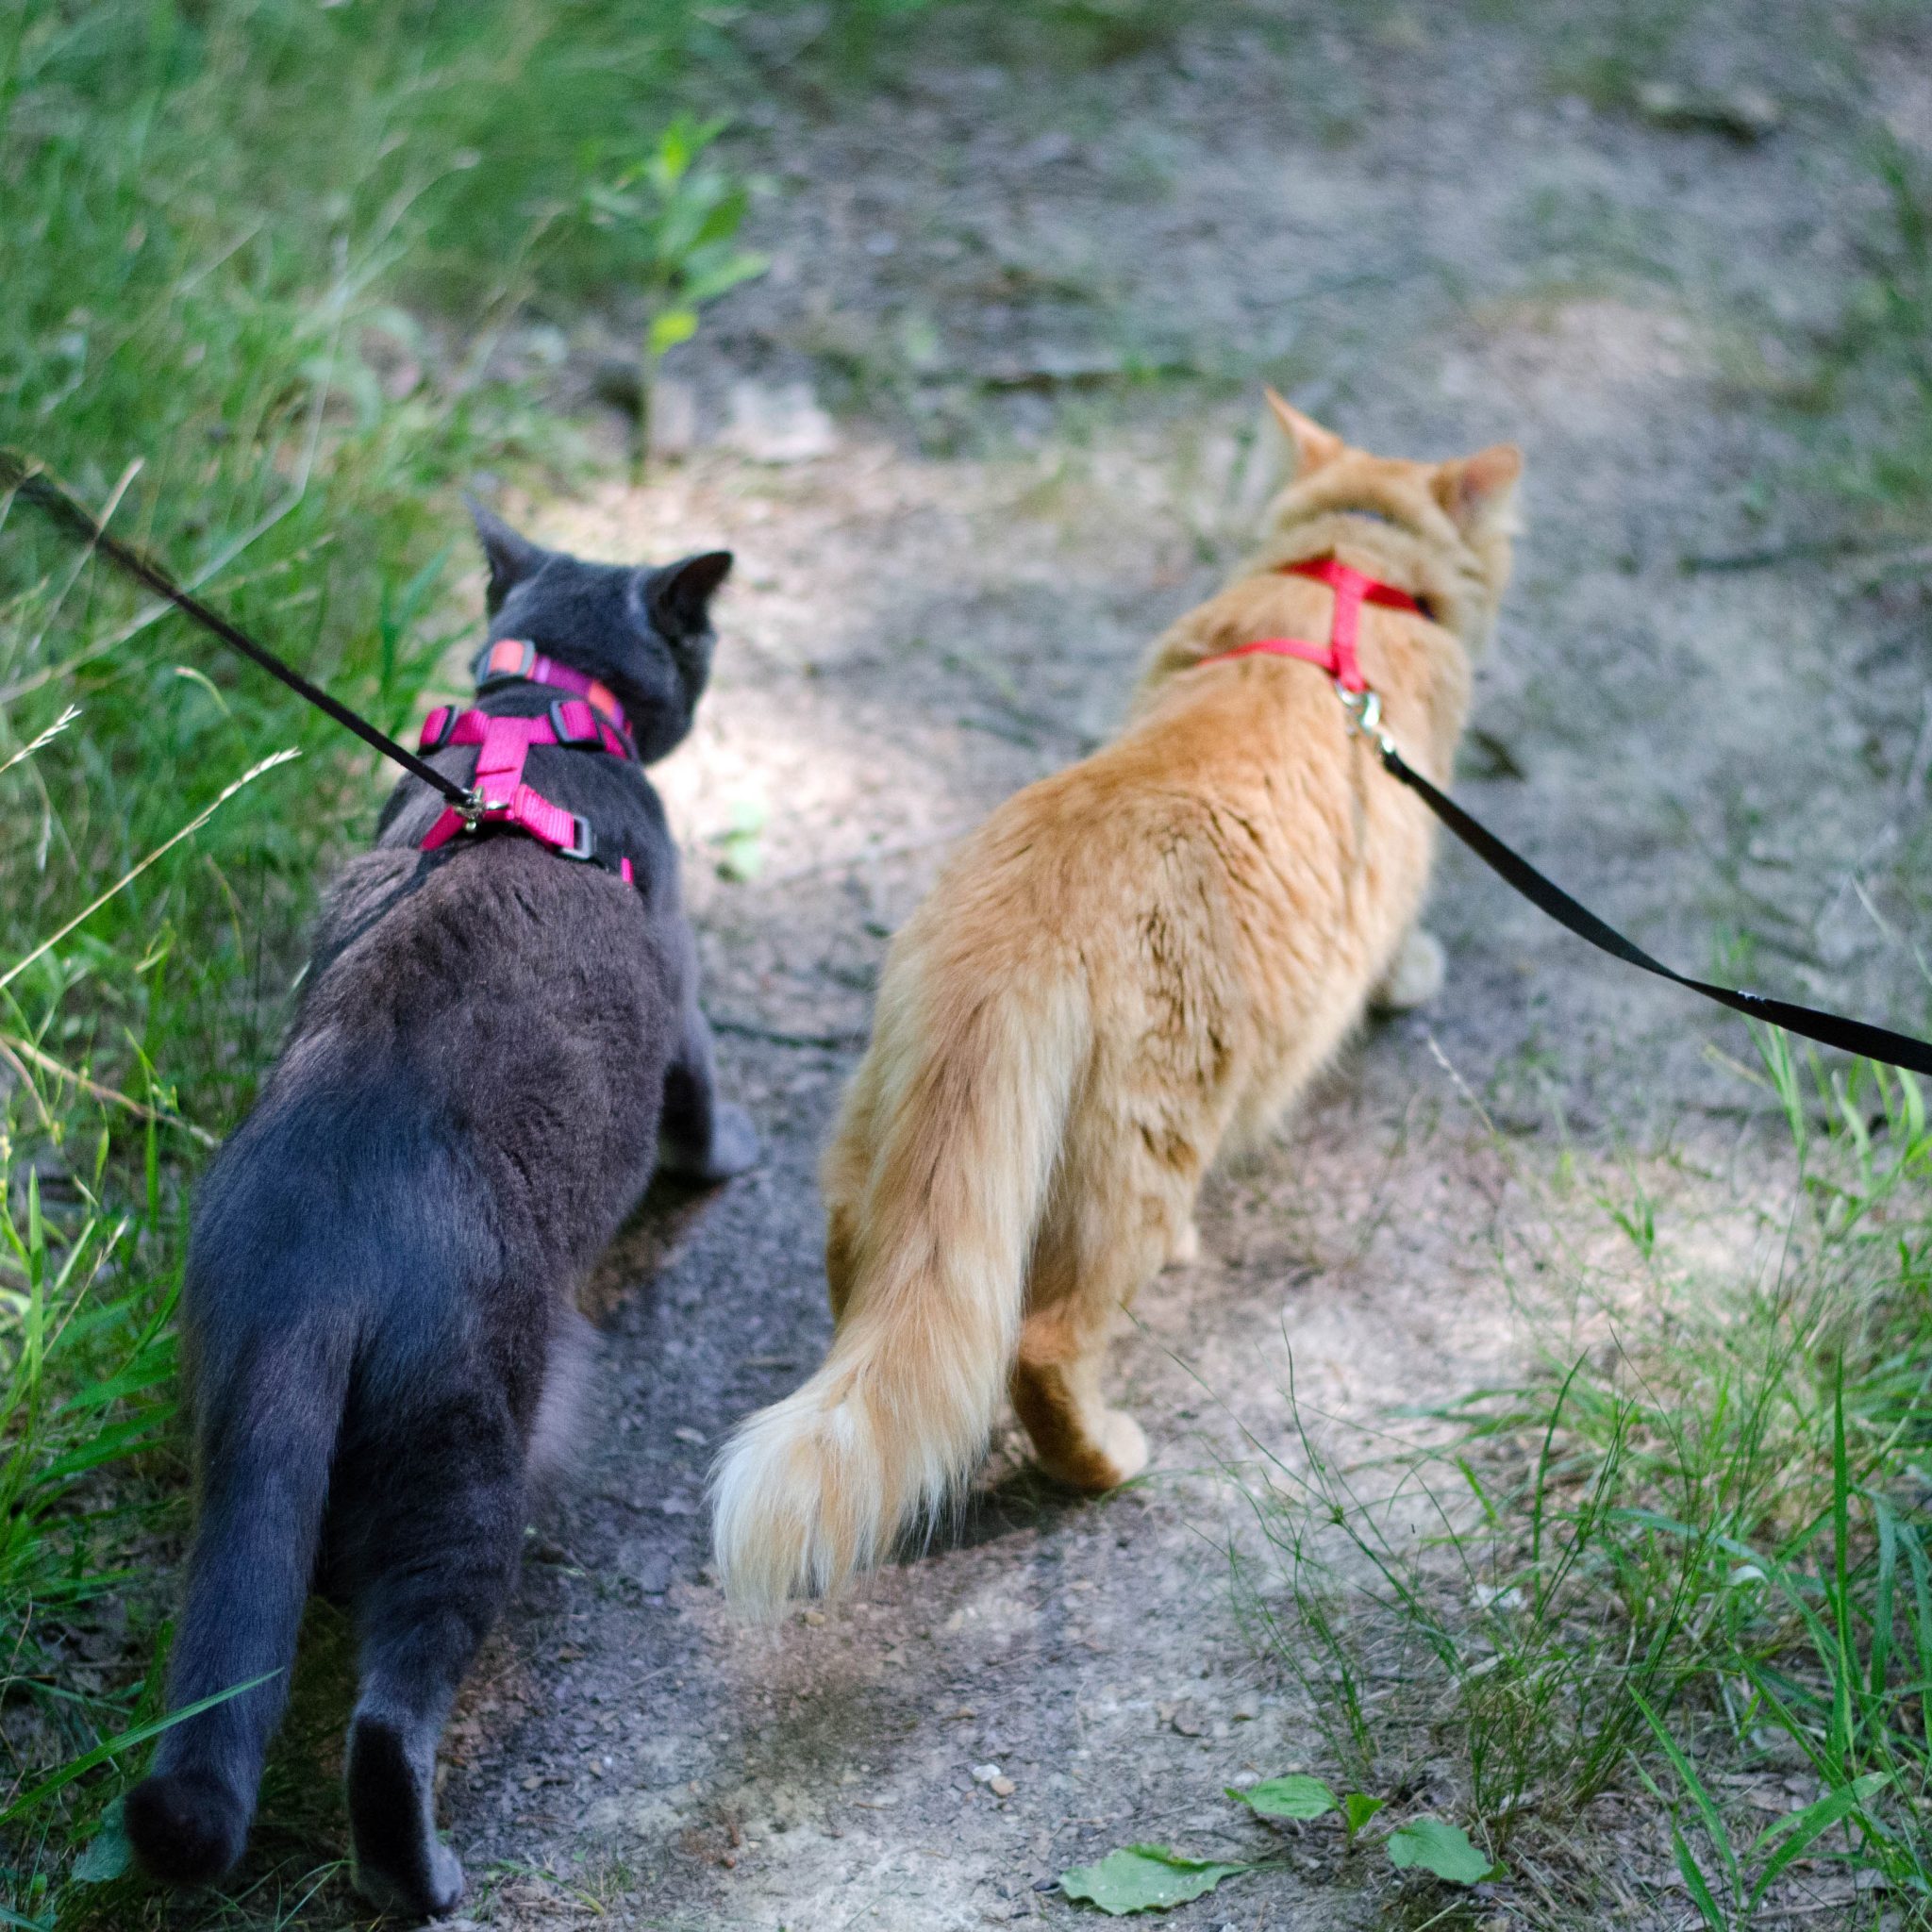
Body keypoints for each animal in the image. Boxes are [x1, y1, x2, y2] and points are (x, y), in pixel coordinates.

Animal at [714, 395, 1522, 1615]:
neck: (1343, 574)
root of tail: (1023, 918)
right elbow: (1396, 947)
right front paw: (1413, 973)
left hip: (891, 1138)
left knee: (873, 1271)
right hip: (1137, 1154)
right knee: (1042, 1343)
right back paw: (1106, 1458)